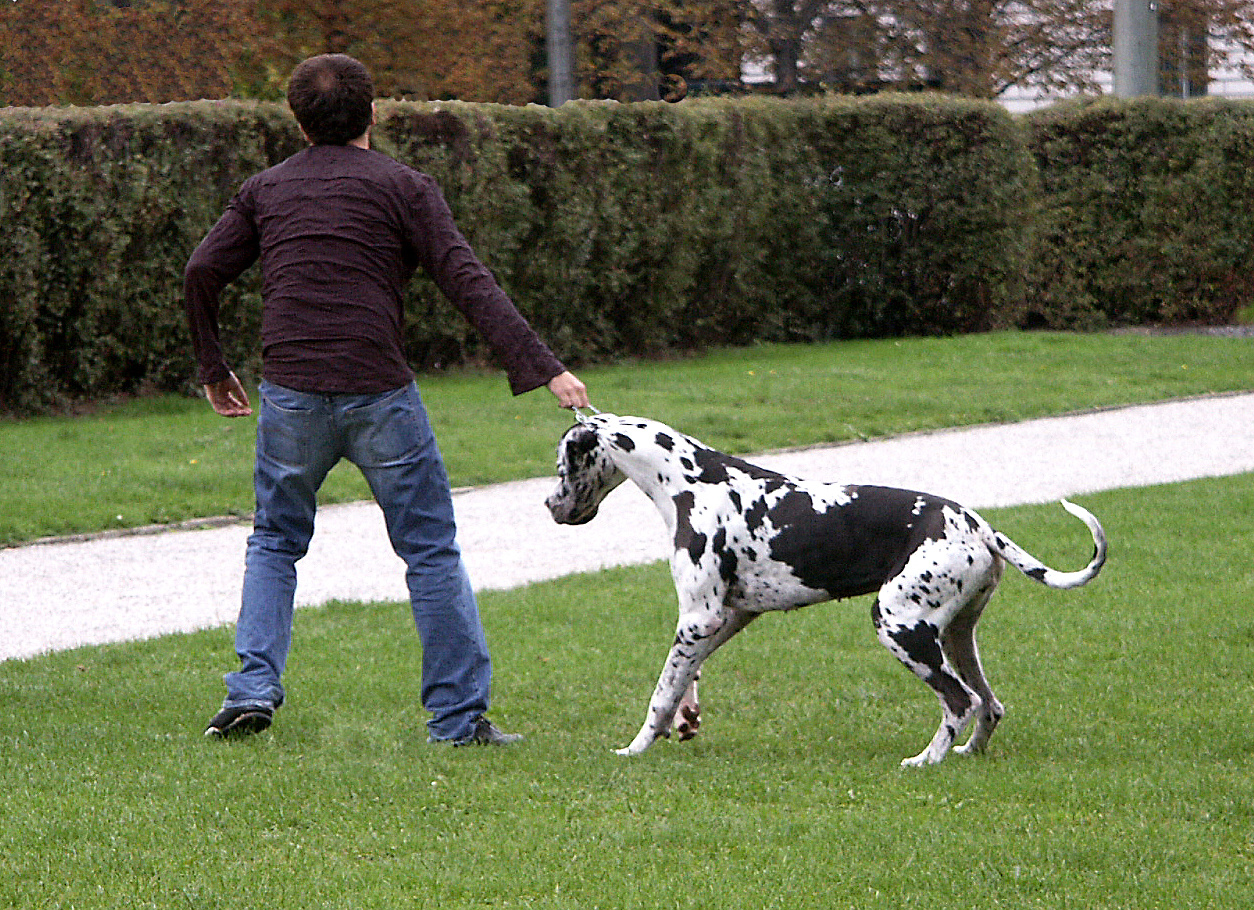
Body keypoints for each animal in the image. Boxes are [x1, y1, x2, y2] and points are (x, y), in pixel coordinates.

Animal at [544, 416, 1103, 767]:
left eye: (561, 464)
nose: (550, 505)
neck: (688, 481)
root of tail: (977, 524)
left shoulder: (698, 617)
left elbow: (660, 692)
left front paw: (635, 749)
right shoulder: (720, 620)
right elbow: (682, 684)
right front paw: (677, 726)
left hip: (900, 626)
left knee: (960, 702)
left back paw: (928, 759)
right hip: (955, 636)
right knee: (990, 705)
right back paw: (969, 753)